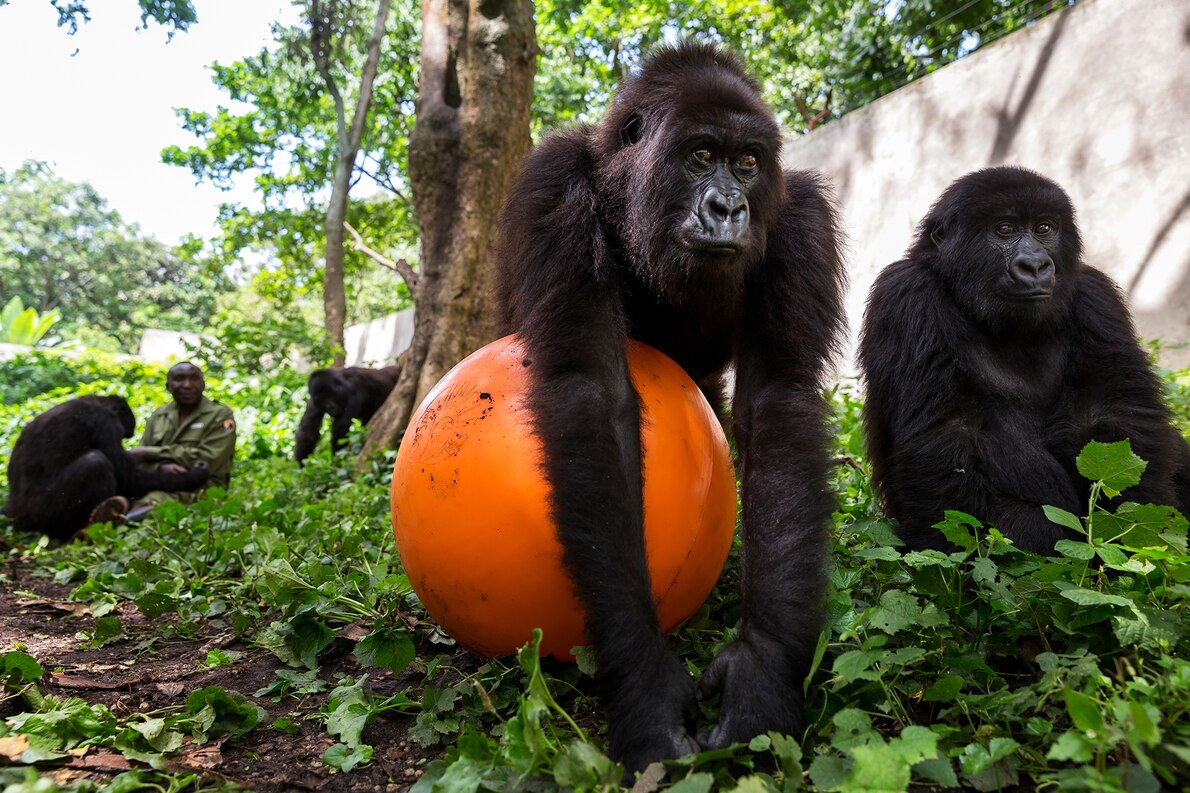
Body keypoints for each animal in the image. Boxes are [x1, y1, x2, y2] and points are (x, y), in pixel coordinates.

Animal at [4, 392, 210, 538]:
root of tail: (15, 519)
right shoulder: (106, 422)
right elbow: (129, 477)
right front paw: (195, 475)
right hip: (44, 514)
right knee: (95, 462)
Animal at [492, 41, 847, 766]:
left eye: (747, 163)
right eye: (701, 155)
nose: (729, 208)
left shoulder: (798, 217)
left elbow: (778, 400)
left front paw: (762, 665)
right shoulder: (553, 185)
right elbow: (589, 391)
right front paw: (641, 676)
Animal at [861, 164, 1190, 552]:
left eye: (1044, 228)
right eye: (1004, 230)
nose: (1034, 265)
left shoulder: (1095, 295)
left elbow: (1115, 418)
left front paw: (1137, 535)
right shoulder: (907, 295)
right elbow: (947, 436)